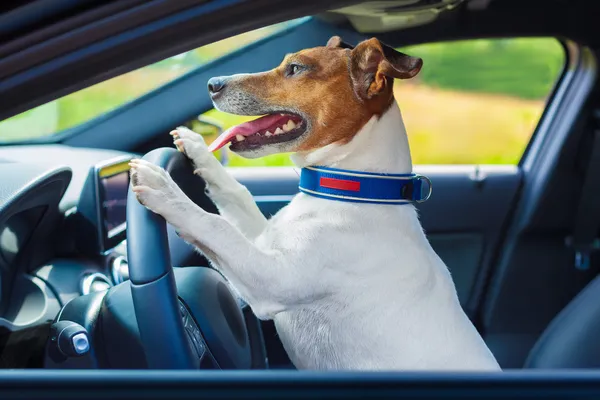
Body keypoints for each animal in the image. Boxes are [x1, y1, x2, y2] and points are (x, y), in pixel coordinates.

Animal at [131, 36, 502, 370]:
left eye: (295, 68)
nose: (212, 84)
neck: (351, 191)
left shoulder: (271, 278)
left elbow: (214, 225)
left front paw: (164, 189)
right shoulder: (265, 238)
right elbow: (236, 193)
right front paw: (197, 147)